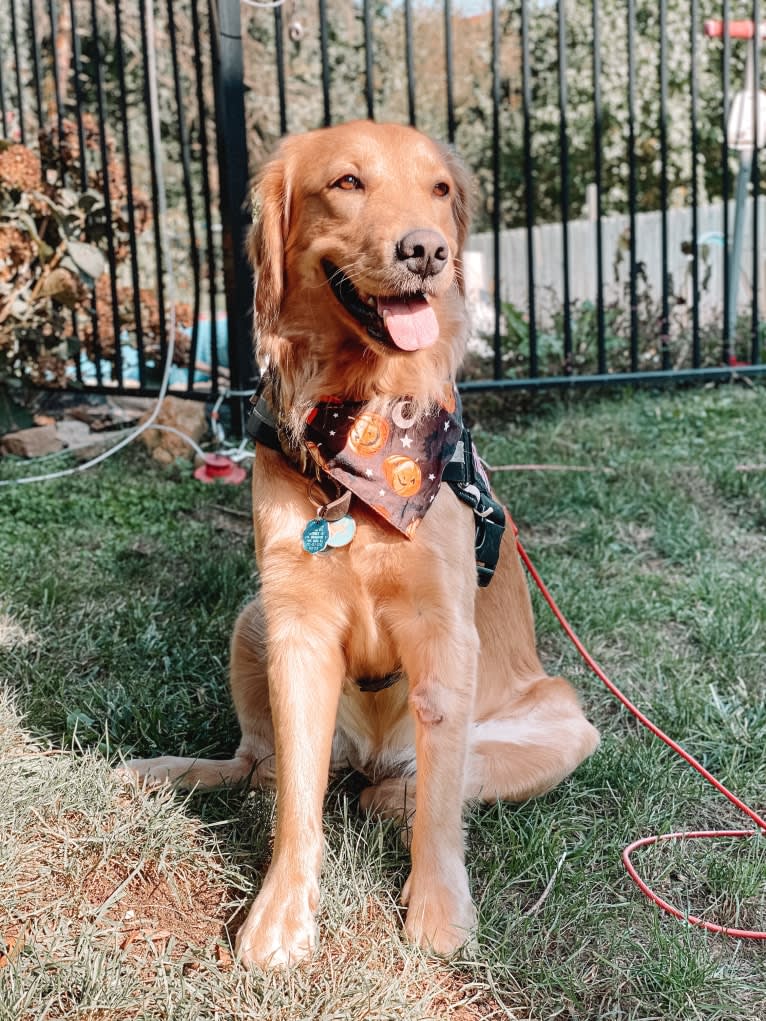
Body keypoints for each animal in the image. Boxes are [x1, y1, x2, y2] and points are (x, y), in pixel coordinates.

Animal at [127, 119, 600, 963]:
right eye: (348, 182)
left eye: (439, 190)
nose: (427, 251)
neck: (367, 424)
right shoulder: (296, 625)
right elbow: (295, 799)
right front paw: (281, 913)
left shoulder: (445, 631)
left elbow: (439, 804)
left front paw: (440, 913)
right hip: (251, 621)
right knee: (259, 767)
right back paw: (168, 769)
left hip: (564, 722)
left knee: (401, 789)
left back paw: (384, 789)